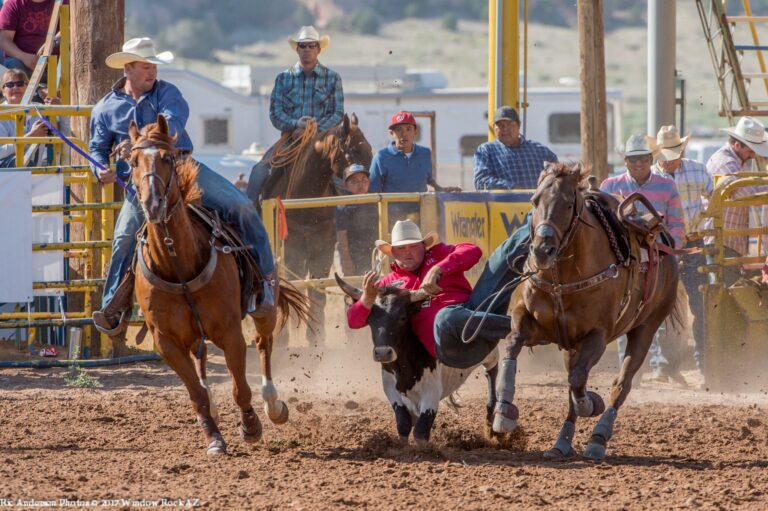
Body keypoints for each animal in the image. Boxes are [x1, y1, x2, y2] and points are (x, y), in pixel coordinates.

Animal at [130, 117, 310, 456]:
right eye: (132, 161)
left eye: (168, 158)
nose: (153, 204)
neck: (179, 265)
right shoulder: (166, 342)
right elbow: (196, 393)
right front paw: (212, 435)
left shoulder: (229, 331)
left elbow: (240, 388)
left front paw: (250, 426)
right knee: (201, 367)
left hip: (264, 308)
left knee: (264, 344)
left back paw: (273, 405)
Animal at [262, 114, 374, 346]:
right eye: (351, 150)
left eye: (369, 150)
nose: (362, 185)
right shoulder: (292, 246)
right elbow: (294, 284)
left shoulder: (323, 244)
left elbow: (318, 288)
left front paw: (316, 338)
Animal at [492, 162, 680, 462]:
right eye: (534, 200)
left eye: (569, 204)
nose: (542, 250)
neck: (562, 278)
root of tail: (662, 241)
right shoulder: (530, 322)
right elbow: (511, 346)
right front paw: (503, 413)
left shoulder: (597, 337)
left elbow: (579, 381)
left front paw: (591, 403)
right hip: (571, 347)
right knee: (573, 384)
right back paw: (561, 443)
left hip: (646, 329)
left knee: (620, 384)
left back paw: (597, 439)